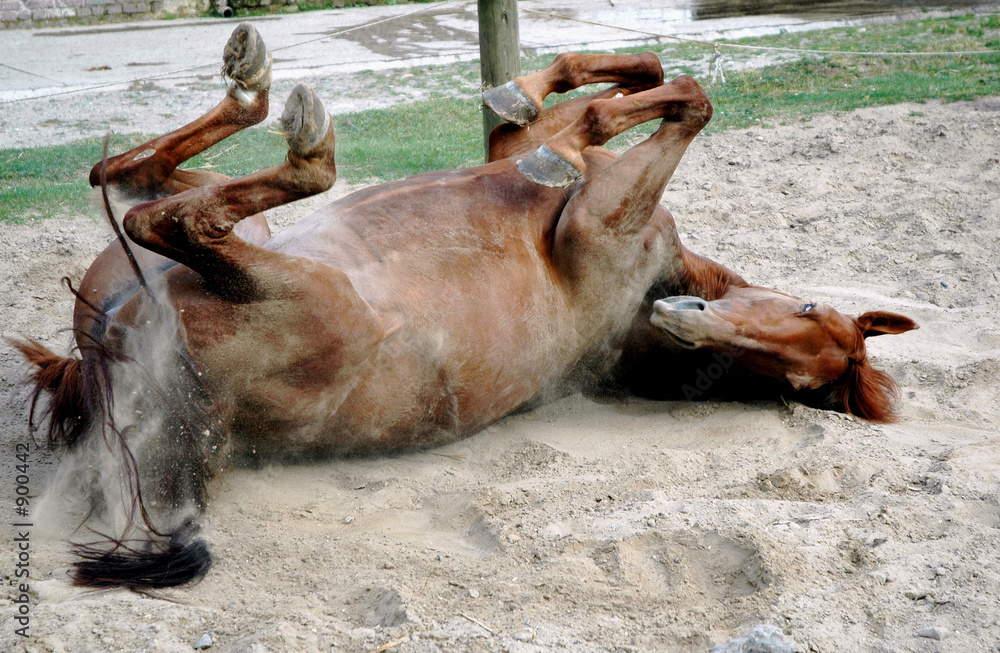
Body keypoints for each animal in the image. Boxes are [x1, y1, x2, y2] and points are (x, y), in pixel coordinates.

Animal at [13, 24, 916, 590]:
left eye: (799, 384)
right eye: (806, 308)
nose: (687, 323)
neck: (644, 293)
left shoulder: (595, 214)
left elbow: (674, 100)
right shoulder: (555, 174)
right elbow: (624, 86)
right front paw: (523, 93)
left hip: (291, 281)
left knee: (172, 214)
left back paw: (299, 126)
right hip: (215, 249)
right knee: (128, 178)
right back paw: (252, 82)